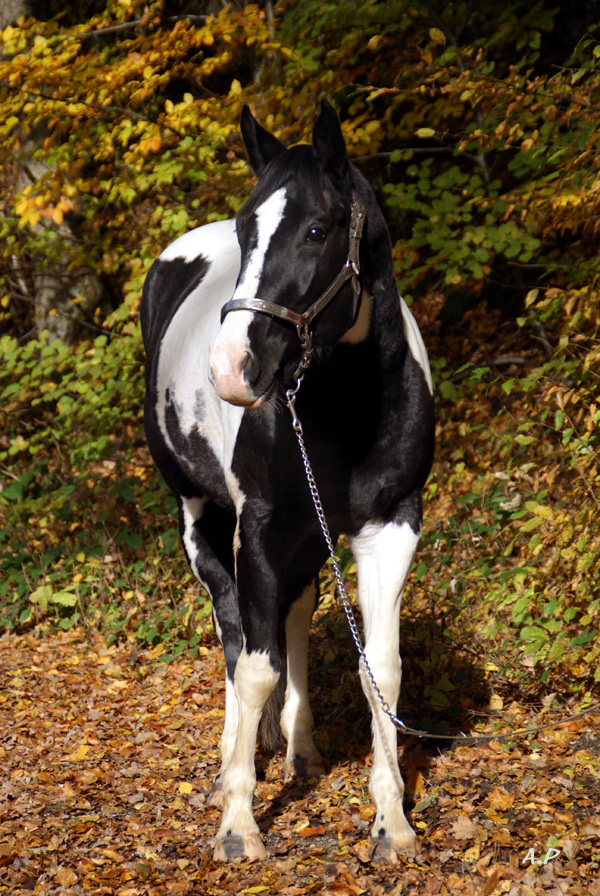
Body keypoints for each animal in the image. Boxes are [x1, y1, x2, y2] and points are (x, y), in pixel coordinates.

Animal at [143, 100, 434, 860]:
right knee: (232, 628)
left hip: (307, 537)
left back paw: (299, 748)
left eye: (316, 229)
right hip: (203, 519)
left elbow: (379, 666)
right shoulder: (262, 528)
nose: (230, 367)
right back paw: (229, 765)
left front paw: (392, 822)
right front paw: (239, 824)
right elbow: (254, 664)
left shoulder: (391, 525)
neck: (348, 405)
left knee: (296, 613)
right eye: (248, 229)